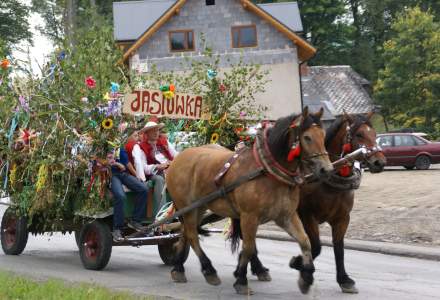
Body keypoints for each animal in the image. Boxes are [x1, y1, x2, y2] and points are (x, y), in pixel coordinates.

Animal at [167, 108, 332, 296]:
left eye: (323, 134)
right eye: (307, 137)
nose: (327, 169)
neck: (267, 171)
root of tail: (178, 158)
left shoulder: (286, 216)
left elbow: (305, 241)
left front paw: (306, 276)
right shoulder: (249, 217)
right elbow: (249, 247)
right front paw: (241, 279)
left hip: (199, 207)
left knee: (186, 232)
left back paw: (178, 268)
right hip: (187, 206)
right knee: (193, 235)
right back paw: (209, 270)